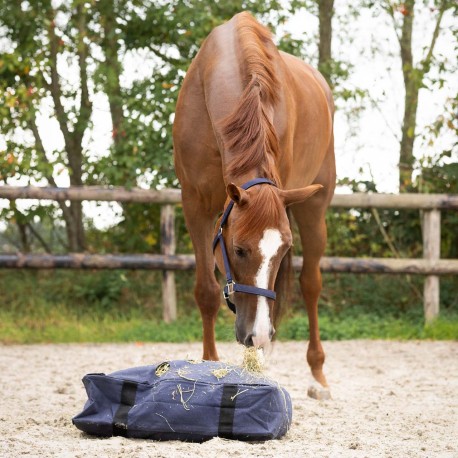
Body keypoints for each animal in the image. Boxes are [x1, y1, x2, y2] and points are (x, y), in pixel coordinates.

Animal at [174, 12, 334, 398]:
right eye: (239, 250)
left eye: (282, 251)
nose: (257, 336)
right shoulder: (195, 204)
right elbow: (207, 292)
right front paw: (209, 364)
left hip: (314, 205)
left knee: (310, 283)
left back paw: (317, 375)